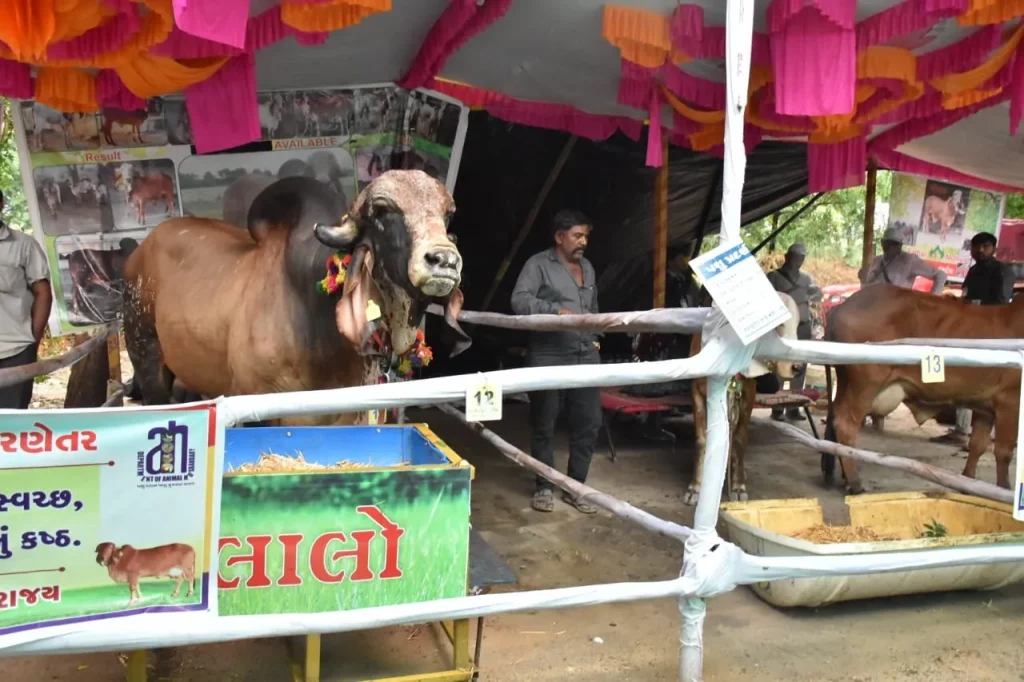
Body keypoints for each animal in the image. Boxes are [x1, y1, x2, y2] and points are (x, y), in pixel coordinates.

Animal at [683, 292, 801, 505]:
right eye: (777, 325)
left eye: (797, 325)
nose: (798, 367)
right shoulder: (697, 390)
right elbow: (702, 439)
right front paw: (695, 488)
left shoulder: (747, 393)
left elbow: (739, 439)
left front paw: (738, 486)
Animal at [825, 284, 1024, 493]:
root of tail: (842, 306)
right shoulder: (1010, 400)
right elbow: (1004, 451)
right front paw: (1004, 488)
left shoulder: (985, 406)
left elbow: (978, 445)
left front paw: (969, 483)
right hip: (866, 384)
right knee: (846, 424)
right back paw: (855, 482)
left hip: (846, 381)